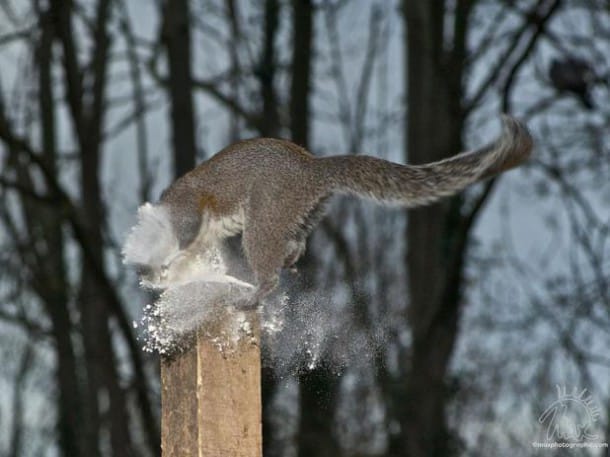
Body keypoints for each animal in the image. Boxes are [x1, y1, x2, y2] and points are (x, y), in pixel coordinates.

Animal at [123, 116, 532, 308]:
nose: (144, 273)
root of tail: (313, 170)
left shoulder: (189, 213)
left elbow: (183, 240)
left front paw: (167, 266)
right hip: (297, 214)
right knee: (297, 243)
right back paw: (289, 262)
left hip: (266, 216)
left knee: (269, 266)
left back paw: (254, 295)